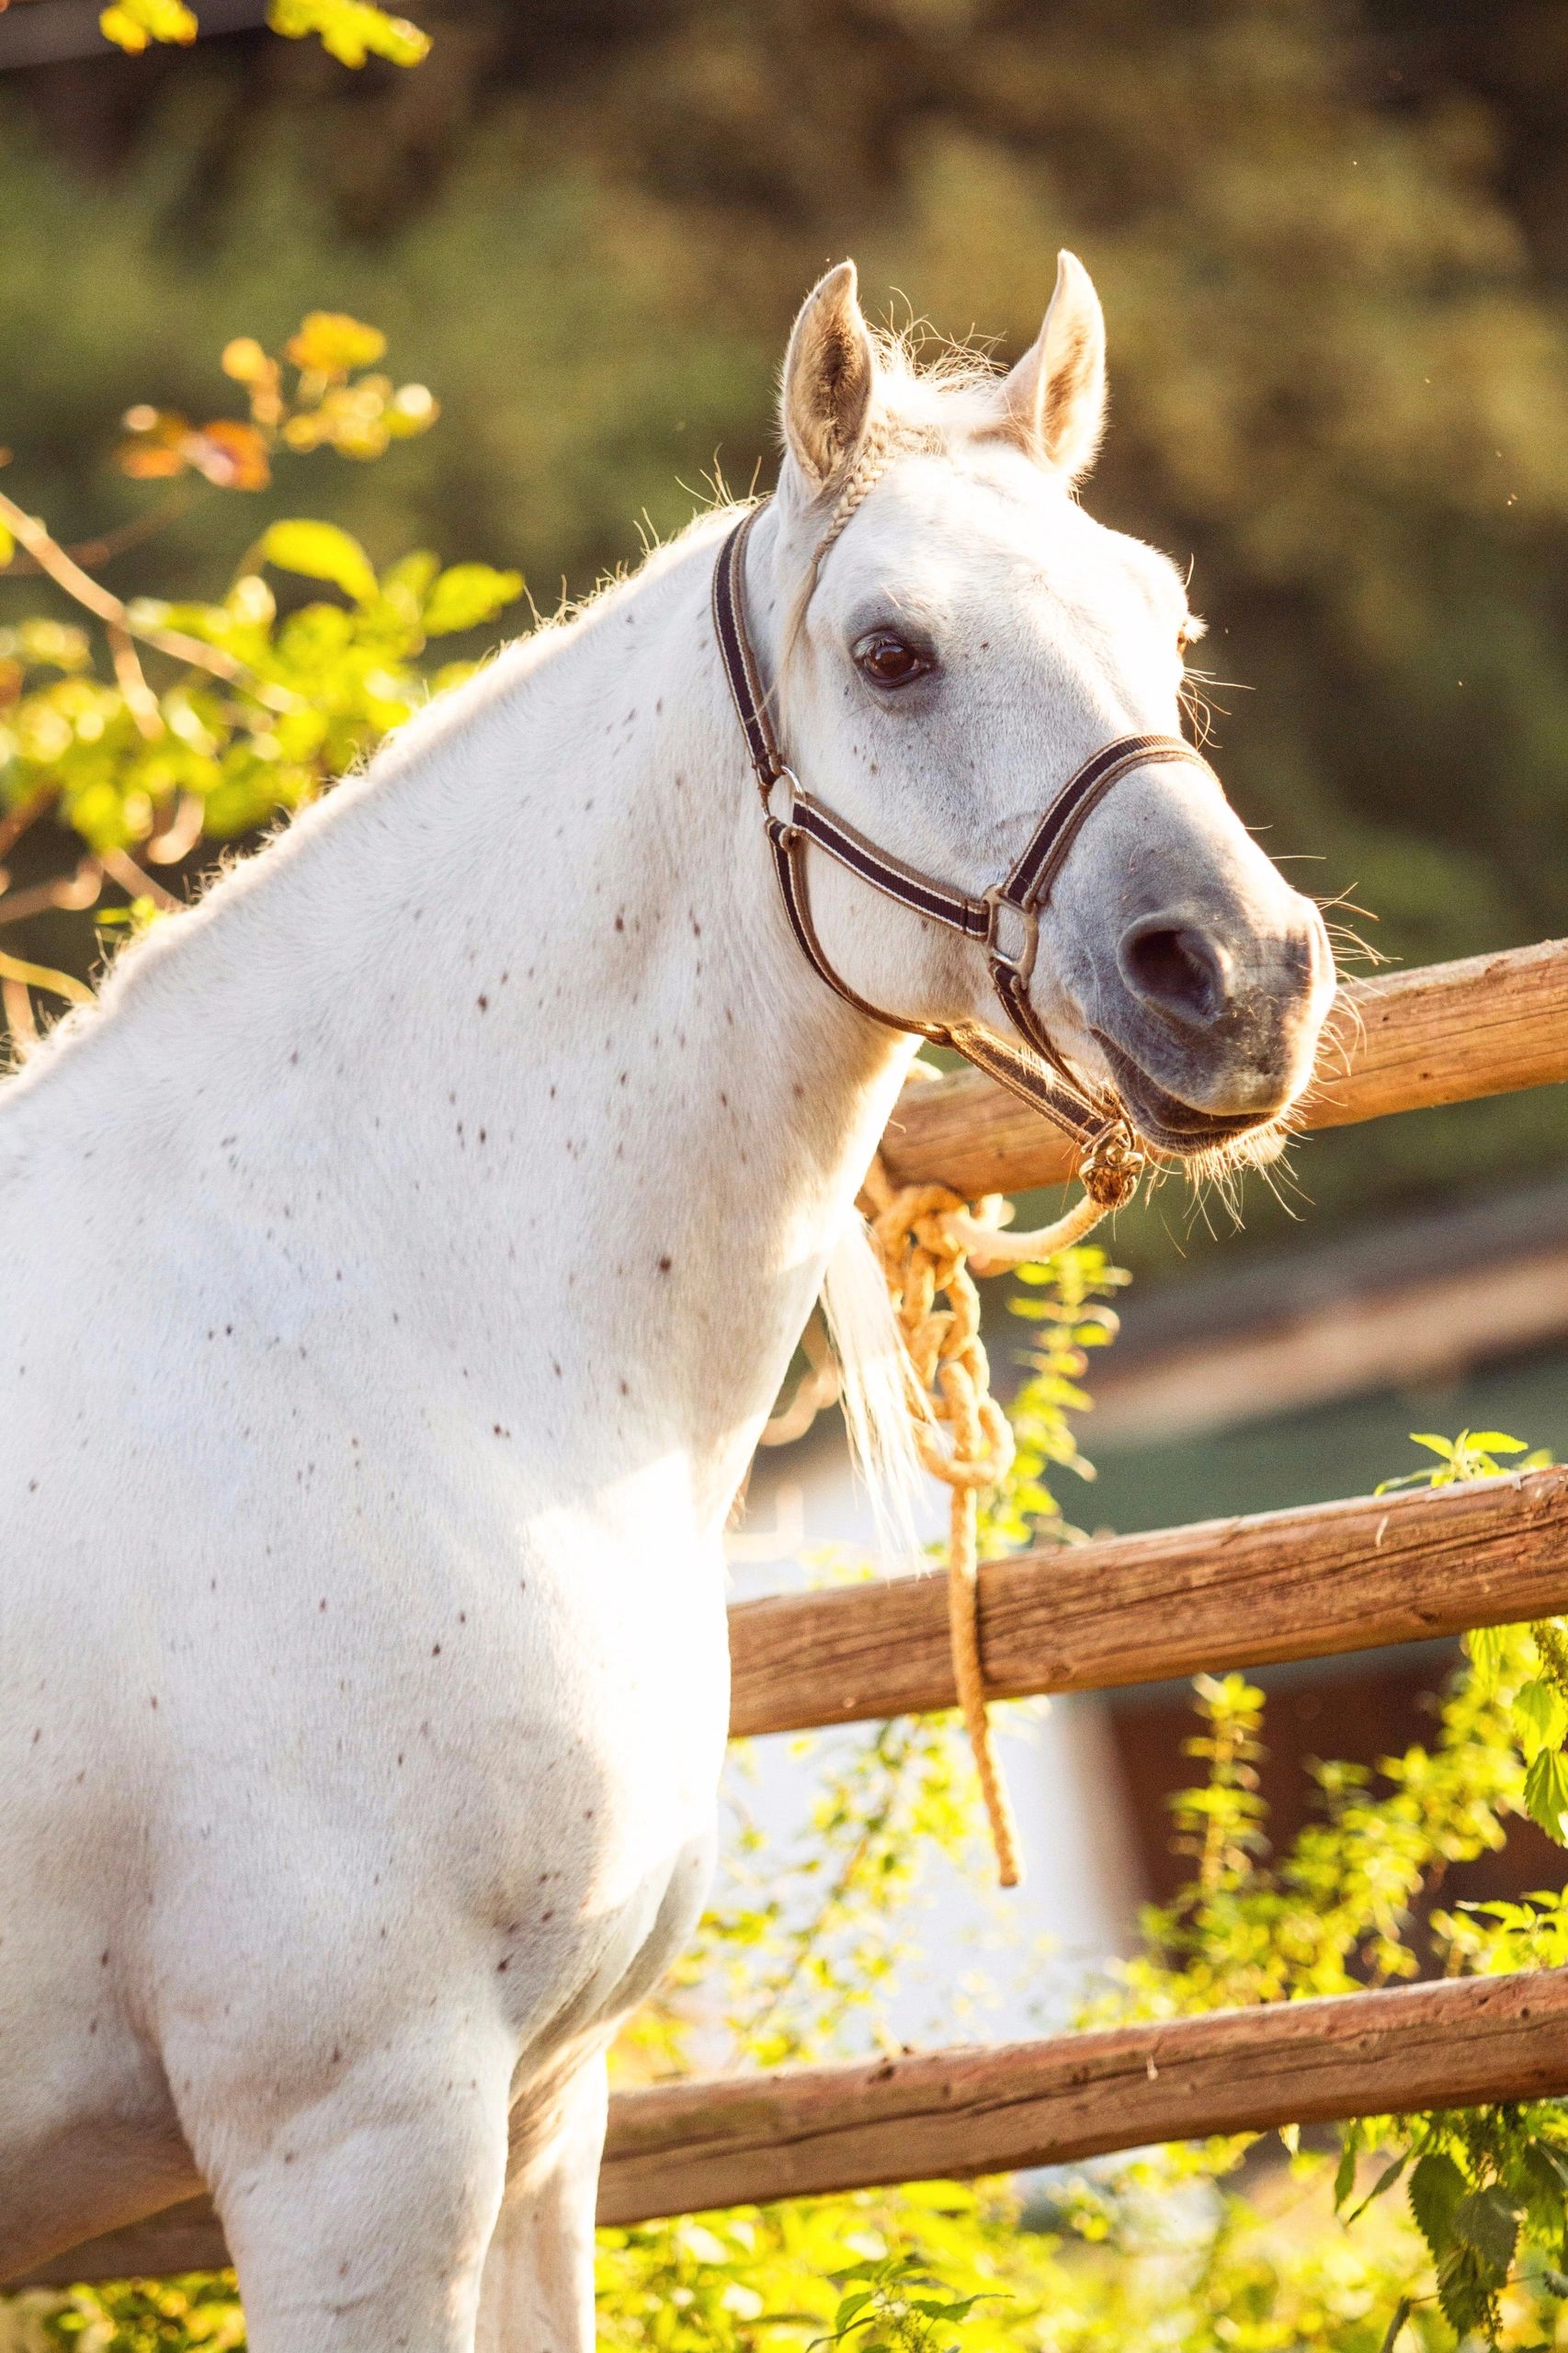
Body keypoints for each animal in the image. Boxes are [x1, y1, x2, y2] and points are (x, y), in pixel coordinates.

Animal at [0, 254, 1334, 2348]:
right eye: (889, 652)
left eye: (1161, 617)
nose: (1242, 978)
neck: (377, 1339)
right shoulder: (358, 2145)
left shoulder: (542, 2117)